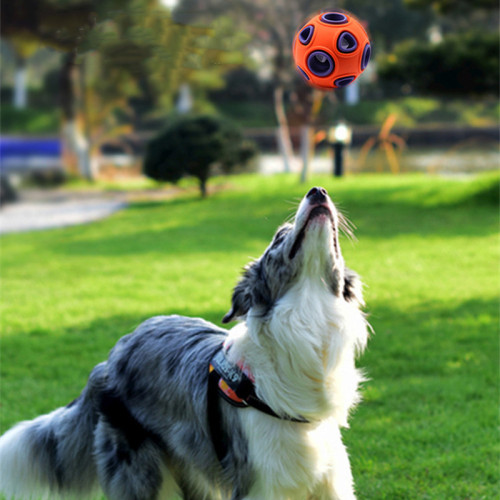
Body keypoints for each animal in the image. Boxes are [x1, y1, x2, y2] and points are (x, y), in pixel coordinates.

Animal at [0, 186, 372, 498]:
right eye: (280, 236)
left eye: (335, 241)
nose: (318, 190)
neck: (309, 319)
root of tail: (109, 359)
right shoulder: (262, 483)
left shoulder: (331, 480)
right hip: (143, 477)